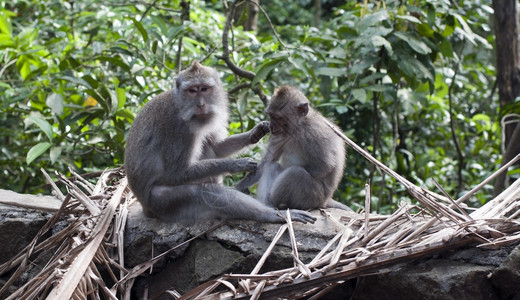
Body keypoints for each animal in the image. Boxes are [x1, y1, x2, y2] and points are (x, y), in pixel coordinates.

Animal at [125, 62, 316, 224]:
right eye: (192, 91)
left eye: (204, 89)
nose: (201, 105)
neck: (182, 106)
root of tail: (145, 208)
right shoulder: (179, 129)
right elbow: (176, 172)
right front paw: (236, 164)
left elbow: (217, 148)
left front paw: (256, 132)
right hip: (162, 202)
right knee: (204, 193)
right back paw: (271, 215)